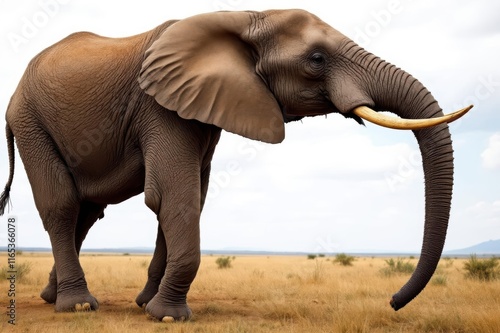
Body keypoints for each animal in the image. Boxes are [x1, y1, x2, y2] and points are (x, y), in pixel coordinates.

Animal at [0, 9, 470, 322]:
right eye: (317, 59)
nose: (393, 301)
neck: (244, 18)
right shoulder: (160, 107)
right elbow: (174, 195)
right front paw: (167, 316)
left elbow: (191, 195)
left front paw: (147, 305)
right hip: (29, 120)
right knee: (62, 206)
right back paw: (77, 306)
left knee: (86, 211)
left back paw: (52, 296)